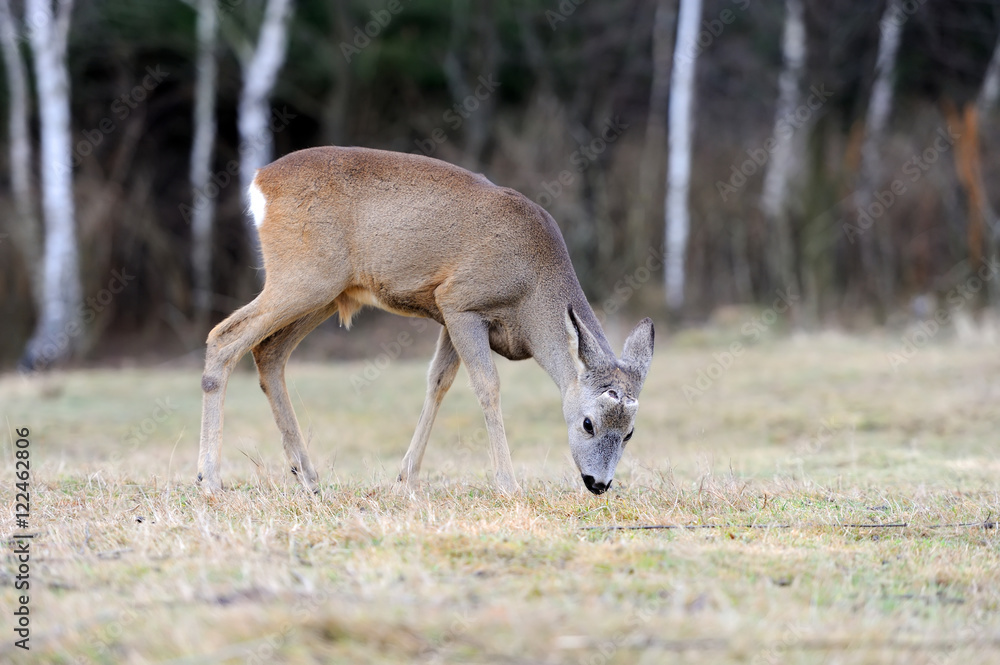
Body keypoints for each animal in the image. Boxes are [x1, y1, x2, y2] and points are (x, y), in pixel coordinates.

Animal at [199, 147, 660, 498]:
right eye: (588, 422)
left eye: (630, 432)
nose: (598, 483)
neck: (530, 289)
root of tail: (260, 180)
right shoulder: (461, 302)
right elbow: (488, 387)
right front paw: (508, 485)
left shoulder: (448, 314)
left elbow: (438, 383)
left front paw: (406, 479)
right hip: (305, 276)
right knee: (224, 337)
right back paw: (210, 480)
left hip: (329, 291)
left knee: (268, 352)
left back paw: (308, 478)